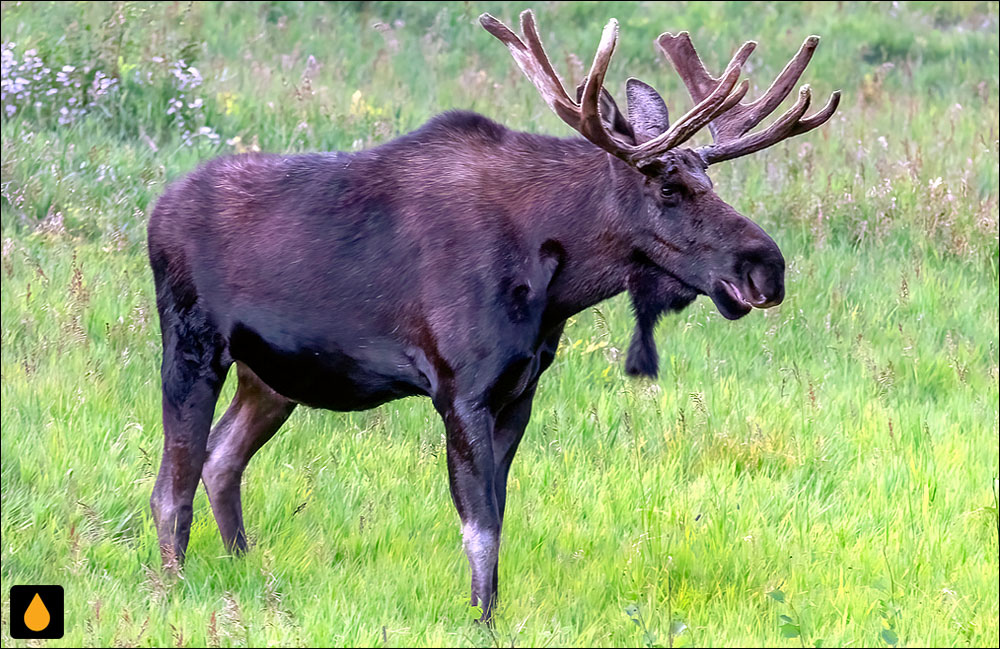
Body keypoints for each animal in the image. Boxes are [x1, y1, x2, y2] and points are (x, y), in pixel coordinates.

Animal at [146, 7, 836, 620]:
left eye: (711, 184)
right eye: (668, 188)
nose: (767, 268)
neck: (555, 282)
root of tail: (155, 211)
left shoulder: (519, 392)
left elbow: (499, 516)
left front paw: (492, 608)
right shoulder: (460, 389)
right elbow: (479, 526)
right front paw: (481, 618)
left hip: (271, 376)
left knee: (221, 458)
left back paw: (243, 565)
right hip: (191, 344)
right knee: (171, 486)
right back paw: (172, 587)